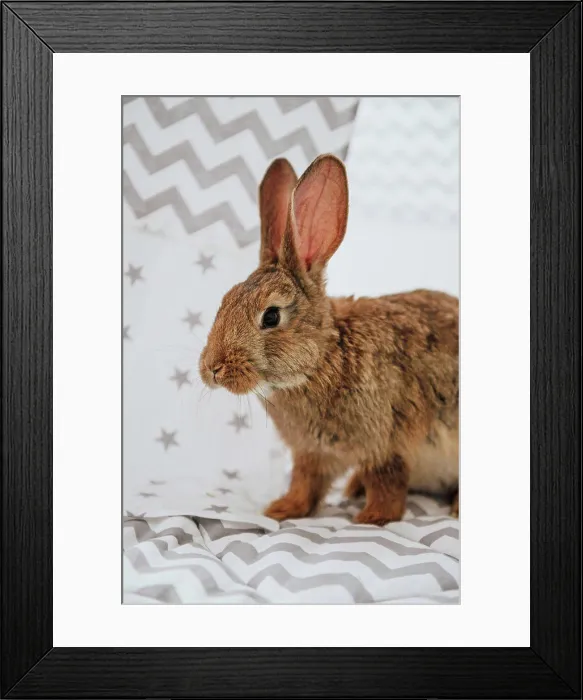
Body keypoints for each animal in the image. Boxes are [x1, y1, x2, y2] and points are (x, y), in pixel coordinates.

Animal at [200, 155, 459, 525]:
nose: (212, 368)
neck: (324, 358)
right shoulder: (312, 452)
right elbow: (305, 483)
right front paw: (281, 509)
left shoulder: (384, 444)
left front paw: (370, 519)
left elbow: (388, 485)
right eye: (226, 299)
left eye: (271, 316)